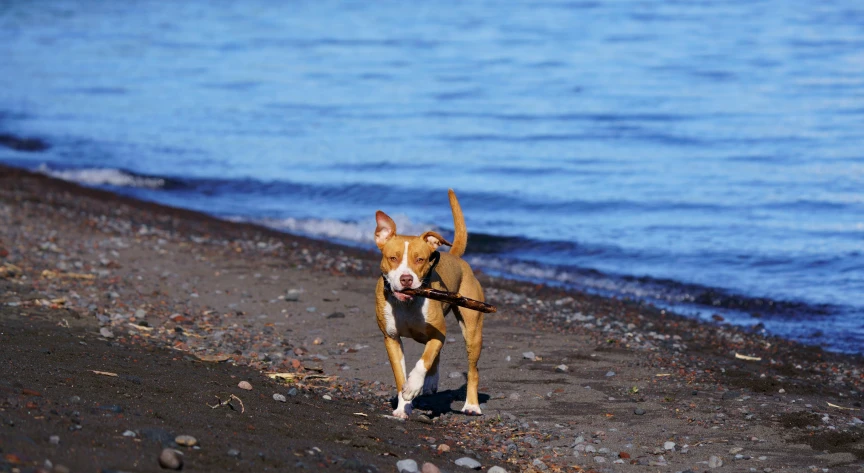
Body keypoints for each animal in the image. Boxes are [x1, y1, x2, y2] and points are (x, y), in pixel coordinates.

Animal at [372, 188, 486, 416]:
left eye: (420, 259)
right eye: (393, 258)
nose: (406, 279)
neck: (407, 304)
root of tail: (455, 258)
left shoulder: (438, 332)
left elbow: (423, 361)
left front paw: (413, 386)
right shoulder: (391, 339)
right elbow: (400, 375)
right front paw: (403, 407)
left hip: (472, 331)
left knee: (472, 369)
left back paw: (471, 405)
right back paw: (431, 382)